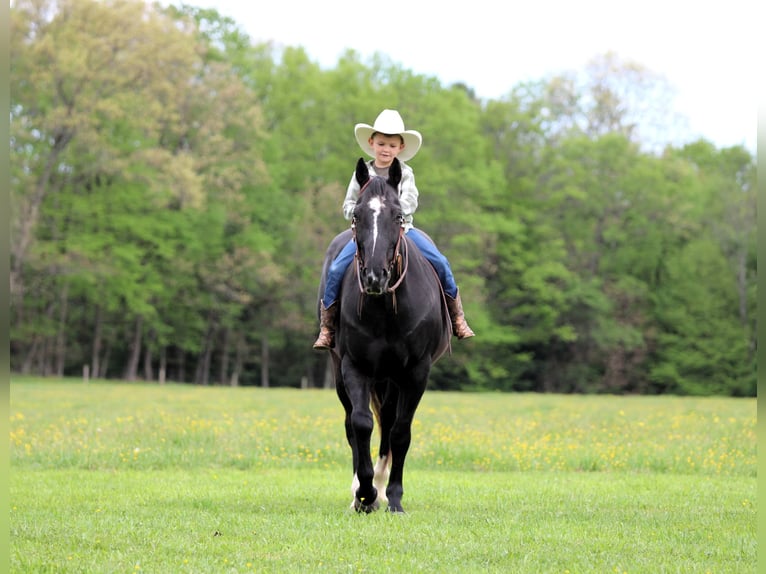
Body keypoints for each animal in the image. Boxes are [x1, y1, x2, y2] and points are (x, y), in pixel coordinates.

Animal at [317, 157, 451, 513]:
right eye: (357, 215)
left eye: (398, 215)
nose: (375, 276)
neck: (386, 311)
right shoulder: (354, 366)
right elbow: (361, 424)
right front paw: (365, 494)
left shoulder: (416, 372)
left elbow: (401, 432)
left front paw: (393, 497)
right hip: (343, 372)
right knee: (353, 424)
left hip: (392, 378)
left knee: (389, 425)